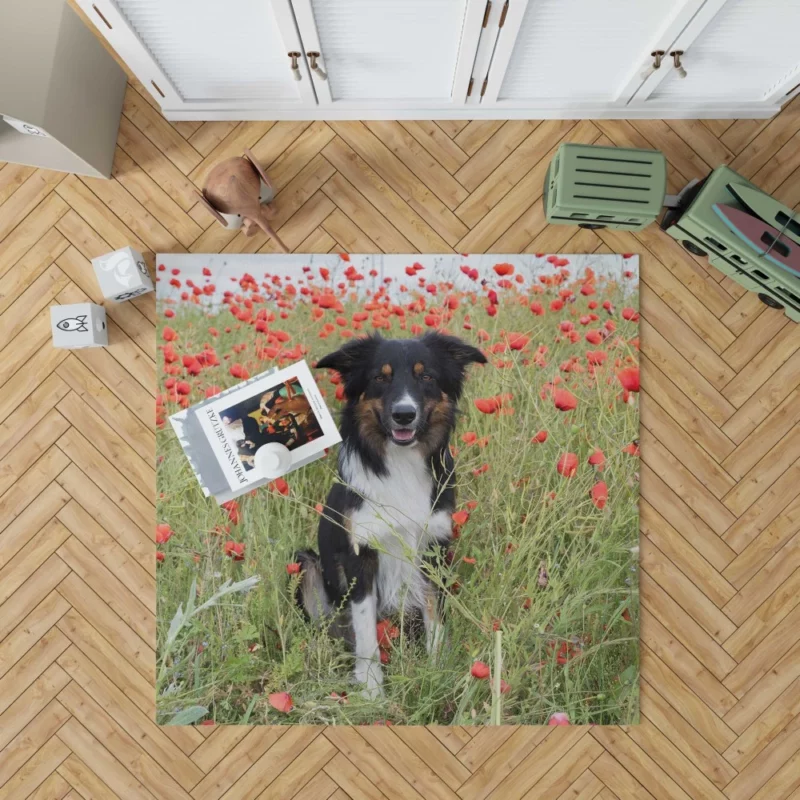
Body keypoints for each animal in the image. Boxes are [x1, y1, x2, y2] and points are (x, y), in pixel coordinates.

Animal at [296, 332, 484, 692]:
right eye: (380, 378)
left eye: (427, 377)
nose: (404, 414)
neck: (401, 463)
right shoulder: (361, 554)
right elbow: (367, 631)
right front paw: (371, 689)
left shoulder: (433, 548)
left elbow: (435, 618)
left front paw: (437, 669)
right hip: (306, 565)